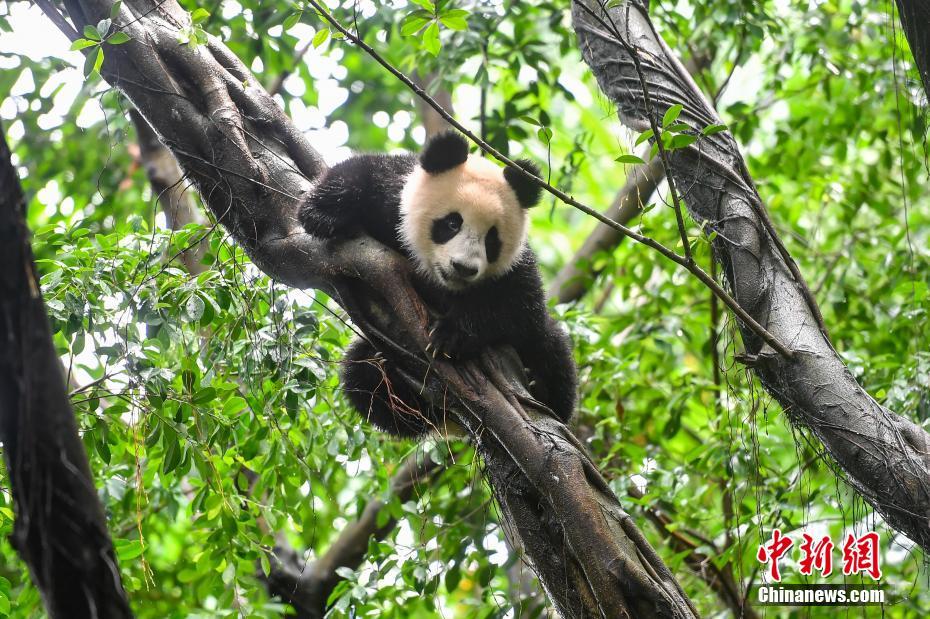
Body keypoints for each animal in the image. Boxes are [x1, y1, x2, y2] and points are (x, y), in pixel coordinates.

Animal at [300, 131, 572, 438]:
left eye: (492, 239)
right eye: (452, 223)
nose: (463, 268)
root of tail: (453, 421)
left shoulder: (514, 271)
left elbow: (517, 308)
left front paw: (449, 336)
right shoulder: (394, 200)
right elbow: (363, 172)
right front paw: (321, 215)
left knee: (553, 350)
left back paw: (538, 385)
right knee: (364, 378)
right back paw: (388, 374)